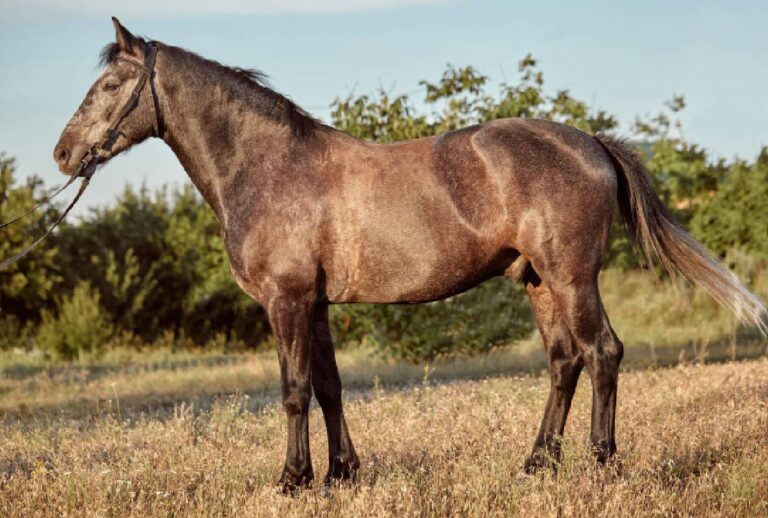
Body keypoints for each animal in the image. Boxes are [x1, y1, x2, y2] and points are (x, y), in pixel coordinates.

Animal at [54, 18, 767, 493]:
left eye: (112, 83)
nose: (63, 154)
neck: (270, 167)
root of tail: (590, 141)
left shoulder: (287, 301)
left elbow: (293, 390)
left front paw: (291, 479)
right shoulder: (314, 305)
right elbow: (329, 387)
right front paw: (341, 475)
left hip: (572, 279)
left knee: (603, 354)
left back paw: (600, 465)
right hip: (539, 282)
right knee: (565, 362)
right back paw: (537, 464)